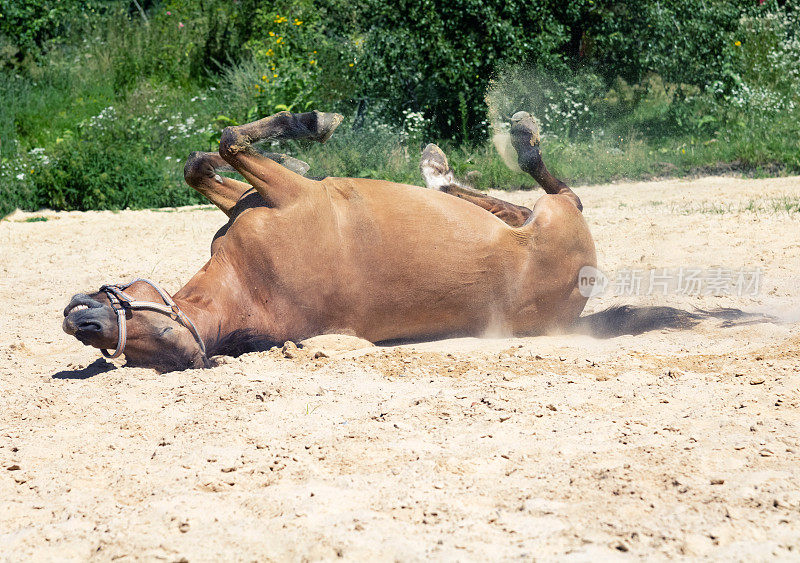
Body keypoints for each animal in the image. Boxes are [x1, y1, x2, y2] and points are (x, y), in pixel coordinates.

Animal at [61, 112, 700, 372]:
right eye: (133, 346)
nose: (79, 319)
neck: (252, 286)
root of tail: (581, 294)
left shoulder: (266, 196)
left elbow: (207, 157)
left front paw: (306, 136)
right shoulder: (282, 195)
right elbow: (225, 146)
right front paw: (313, 125)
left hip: (541, 218)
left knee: (520, 200)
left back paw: (446, 167)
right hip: (556, 218)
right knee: (548, 189)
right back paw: (489, 149)